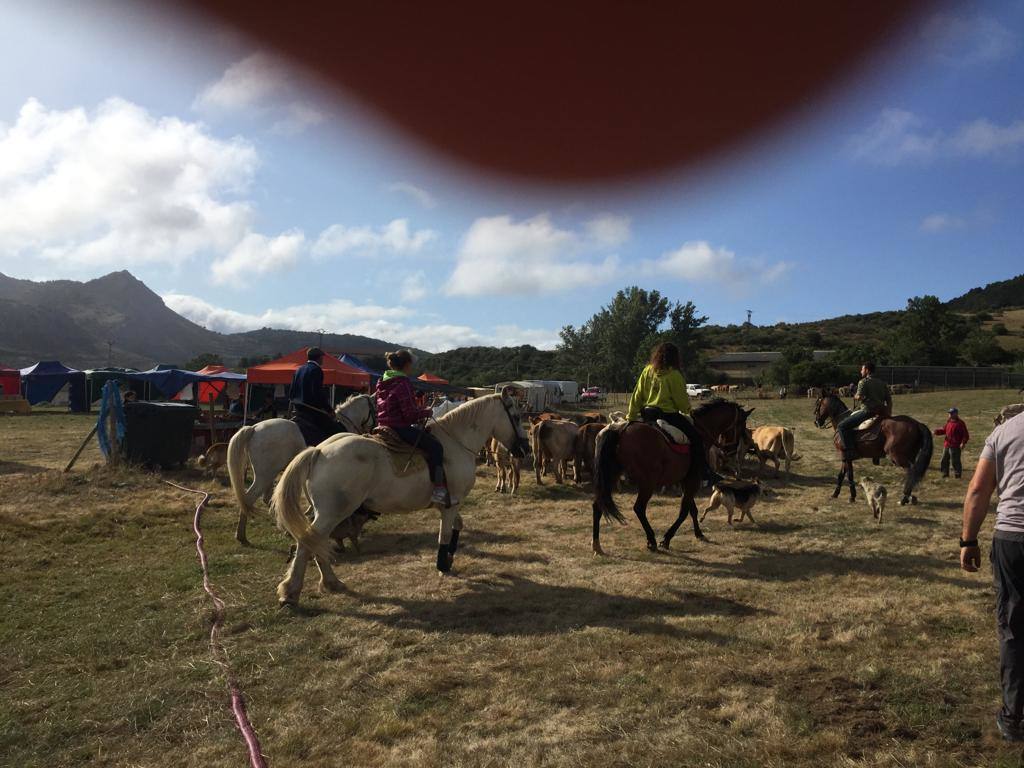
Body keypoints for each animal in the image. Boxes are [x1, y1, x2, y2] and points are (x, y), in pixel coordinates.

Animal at [226, 397, 378, 548]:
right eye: (375, 409)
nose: (374, 429)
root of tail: (254, 428)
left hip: (268, 474)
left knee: (267, 498)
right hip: (265, 475)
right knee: (249, 499)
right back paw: (242, 536)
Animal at [274, 397, 528, 606]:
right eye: (516, 416)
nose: (524, 448)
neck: (456, 443)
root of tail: (318, 451)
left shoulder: (451, 503)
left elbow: (458, 526)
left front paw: (450, 557)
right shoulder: (451, 504)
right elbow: (445, 534)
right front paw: (442, 565)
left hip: (327, 514)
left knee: (315, 543)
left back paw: (331, 583)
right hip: (332, 514)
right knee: (307, 543)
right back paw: (291, 593)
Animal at [593, 399, 753, 557]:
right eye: (742, 424)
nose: (731, 451)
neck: (701, 431)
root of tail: (620, 429)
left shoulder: (685, 480)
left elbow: (692, 509)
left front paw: (699, 533)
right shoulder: (693, 480)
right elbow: (684, 511)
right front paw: (667, 539)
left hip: (610, 477)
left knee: (598, 505)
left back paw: (597, 546)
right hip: (647, 483)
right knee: (639, 508)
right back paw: (651, 540)